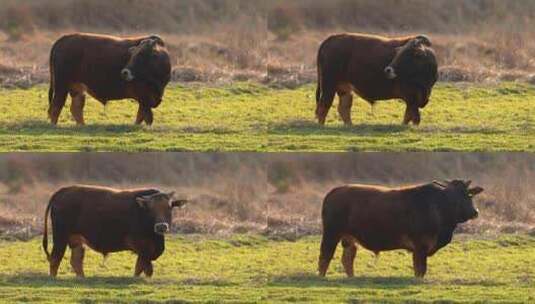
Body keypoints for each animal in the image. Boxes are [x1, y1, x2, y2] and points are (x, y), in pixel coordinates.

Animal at [41, 185, 186, 278]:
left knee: (76, 260)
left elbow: (140, 267)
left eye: (169, 208)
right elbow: (146, 267)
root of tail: (63, 191)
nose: (161, 226)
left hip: (75, 239)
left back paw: (82, 278)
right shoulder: (139, 245)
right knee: (55, 258)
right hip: (60, 237)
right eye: (151, 209)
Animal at [320, 180, 484, 278]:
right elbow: (420, 269)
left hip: (349, 238)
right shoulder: (420, 246)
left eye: (469, 195)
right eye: (453, 196)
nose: (475, 211)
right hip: (331, 233)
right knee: (325, 256)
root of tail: (333, 192)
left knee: (347, 258)